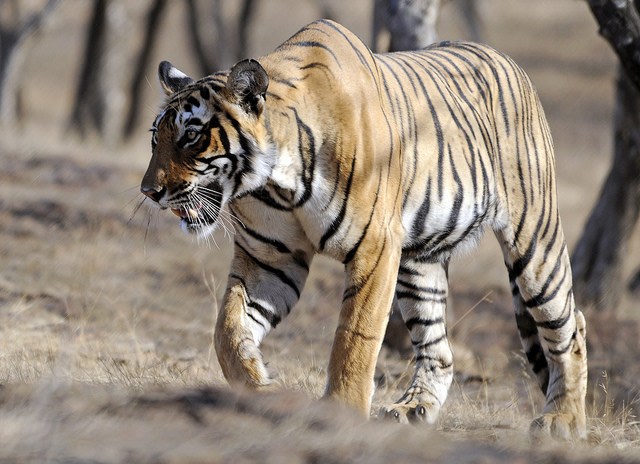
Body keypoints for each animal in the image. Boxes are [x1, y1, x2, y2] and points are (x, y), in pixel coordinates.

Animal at [140, 19, 587, 440]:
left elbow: (355, 336)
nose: (149, 191)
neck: (277, 181)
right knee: (439, 348)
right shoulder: (268, 259)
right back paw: (412, 408)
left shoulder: (375, 247)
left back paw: (562, 420)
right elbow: (229, 329)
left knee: (570, 327)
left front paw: (341, 412)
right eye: (155, 137)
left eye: (191, 135)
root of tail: (507, 59)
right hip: (419, 264)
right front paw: (261, 386)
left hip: (535, 242)